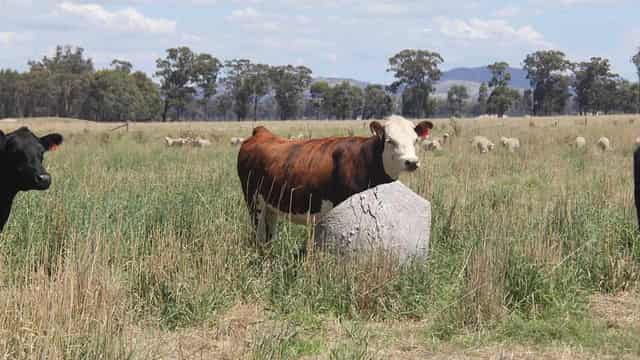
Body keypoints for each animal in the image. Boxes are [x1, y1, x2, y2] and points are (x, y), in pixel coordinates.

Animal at [238, 115, 432, 243]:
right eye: (390, 140)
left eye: (415, 140)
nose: (411, 162)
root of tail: (262, 132)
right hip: (253, 202)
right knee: (258, 235)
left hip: (271, 206)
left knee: (268, 236)